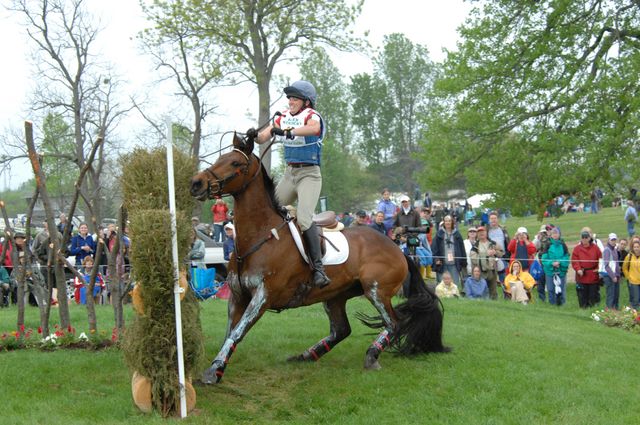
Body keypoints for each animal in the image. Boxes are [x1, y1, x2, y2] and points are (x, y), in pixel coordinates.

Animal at [189, 132, 449, 384]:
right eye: (219, 158)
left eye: (235, 163)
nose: (196, 183)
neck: (260, 236)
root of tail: (398, 249)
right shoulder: (237, 296)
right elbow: (230, 332)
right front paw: (218, 365)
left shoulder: (263, 296)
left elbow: (237, 332)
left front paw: (214, 371)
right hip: (335, 296)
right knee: (341, 330)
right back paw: (306, 355)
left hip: (376, 291)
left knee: (393, 323)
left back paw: (371, 355)